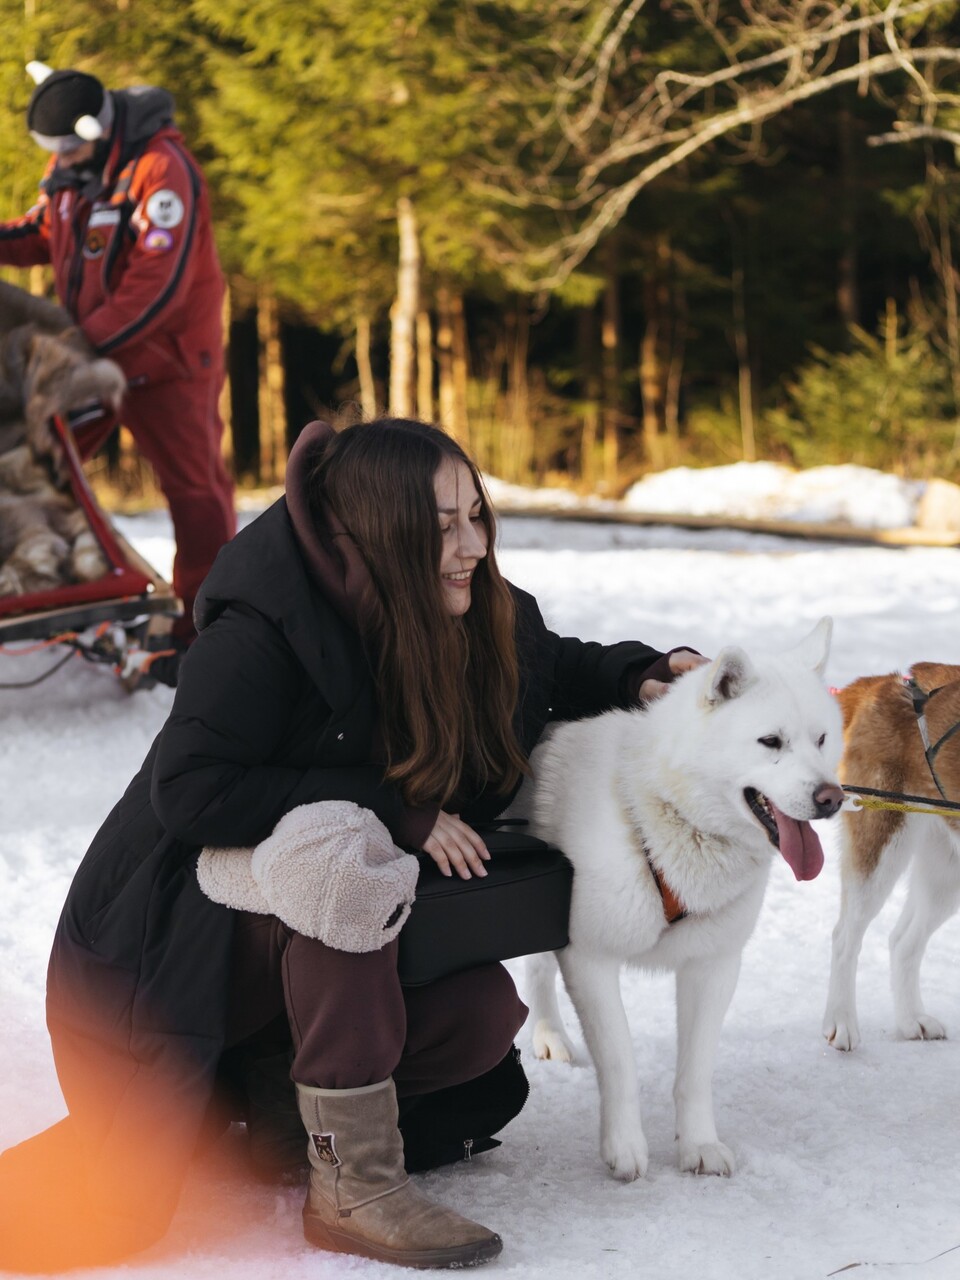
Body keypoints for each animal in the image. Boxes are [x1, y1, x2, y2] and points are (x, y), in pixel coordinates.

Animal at [514, 619, 844, 1181]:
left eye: (822, 739)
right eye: (771, 741)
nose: (832, 798)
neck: (659, 817)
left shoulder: (713, 966)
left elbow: (694, 1072)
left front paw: (699, 1145)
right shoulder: (591, 958)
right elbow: (620, 1060)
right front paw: (624, 1147)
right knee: (536, 967)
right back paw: (547, 1032)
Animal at [822, 663, 960, 1052]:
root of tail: (883, 682)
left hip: (945, 873)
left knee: (903, 942)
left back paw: (911, 1018)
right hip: (882, 845)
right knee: (845, 936)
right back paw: (842, 1021)